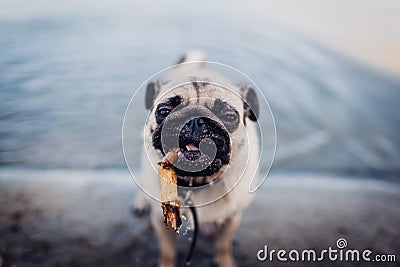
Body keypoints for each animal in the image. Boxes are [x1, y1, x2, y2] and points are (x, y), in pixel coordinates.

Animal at [133, 51, 260, 267]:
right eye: (163, 111)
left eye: (229, 116)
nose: (194, 120)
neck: (196, 182)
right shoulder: (160, 221)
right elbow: (167, 252)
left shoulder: (232, 218)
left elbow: (223, 245)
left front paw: (225, 261)